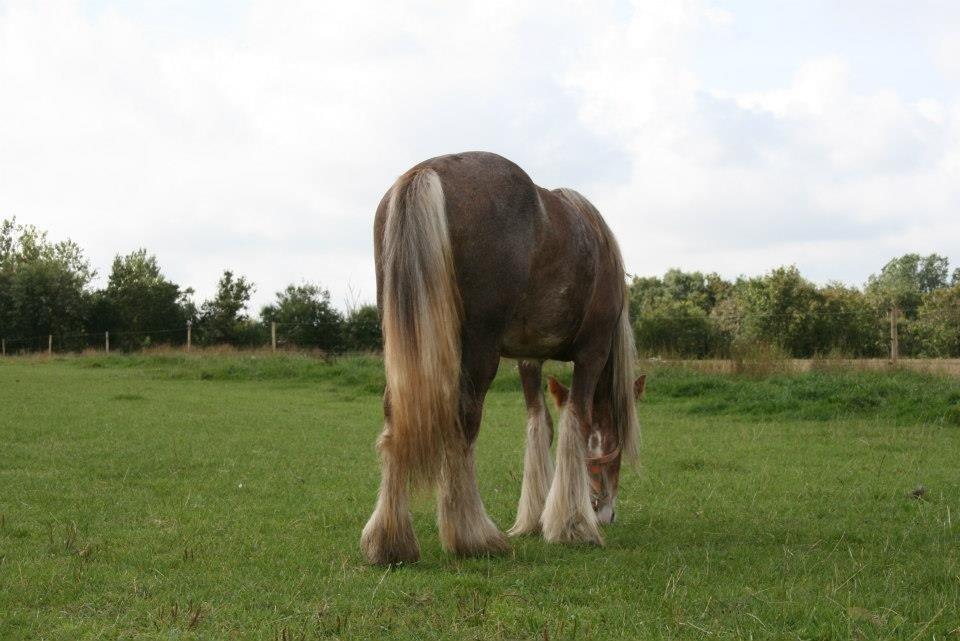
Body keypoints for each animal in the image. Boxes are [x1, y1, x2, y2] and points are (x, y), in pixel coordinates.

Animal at [364, 152, 640, 564]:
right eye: (617, 451)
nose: (605, 511)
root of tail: (426, 172)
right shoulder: (592, 352)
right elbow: (576, 422)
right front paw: (573, 525)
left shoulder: (529, 359)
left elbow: (541, 425)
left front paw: (537, 518)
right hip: (480, 349)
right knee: (465, 419)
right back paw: (473, 538)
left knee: (396, 416)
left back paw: (390, 542)